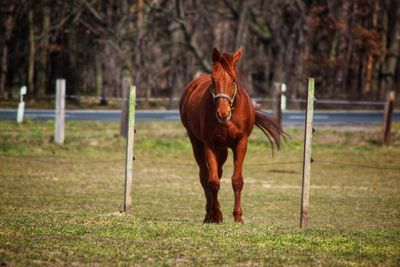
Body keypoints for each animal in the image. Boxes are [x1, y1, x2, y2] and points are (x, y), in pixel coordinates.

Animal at [180, 48, 286, 224]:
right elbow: (213, 181)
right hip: (197, 143)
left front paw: (238, 217)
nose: (223, 113)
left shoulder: (241, 143)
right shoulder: (209, 144)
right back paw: (209, 214)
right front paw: (216, 215)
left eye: (234, 79)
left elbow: (237, 180)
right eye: (213, 79)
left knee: (218, 172)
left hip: (222, 149)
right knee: (205, 176)